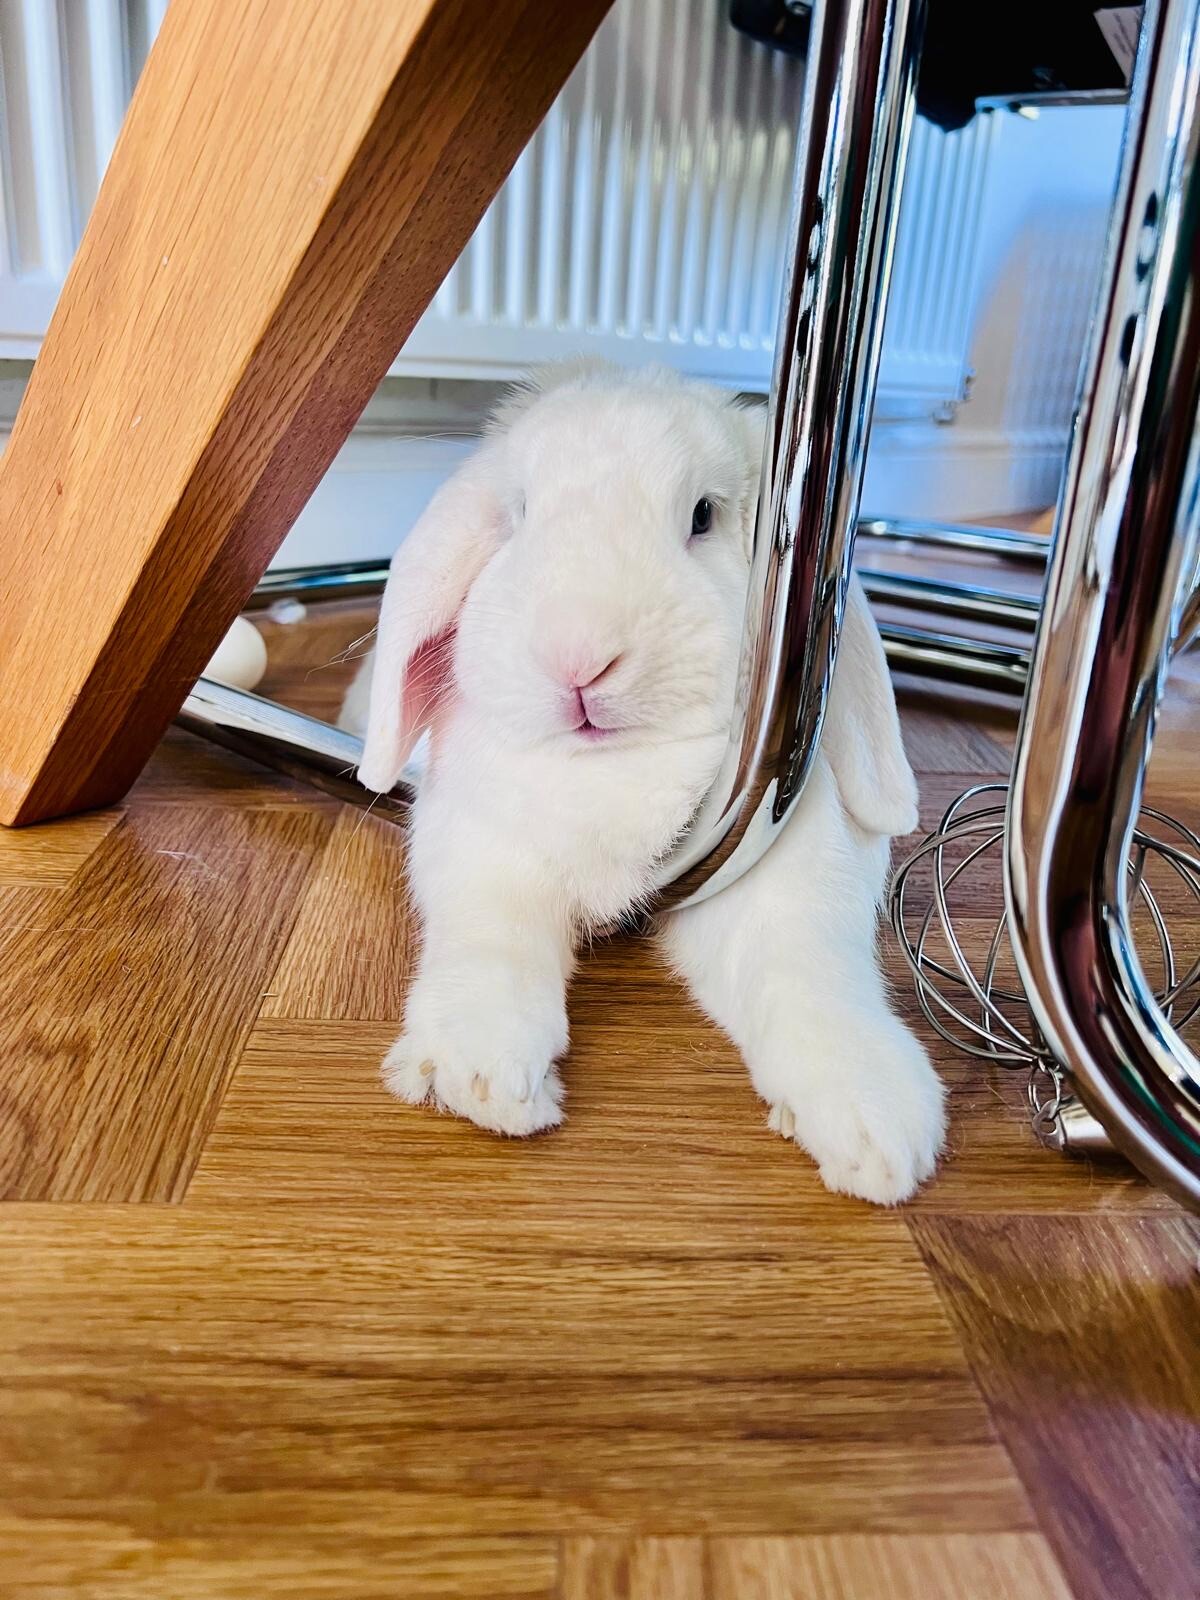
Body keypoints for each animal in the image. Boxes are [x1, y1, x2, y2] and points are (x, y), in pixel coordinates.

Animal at [344, 360, 945, 1204]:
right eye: (520, 514)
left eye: (703, 515)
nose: (579, 658)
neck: (613, 765)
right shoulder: (483, 855)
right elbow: (492, 942)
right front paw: (484, 1077)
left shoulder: (781, 885)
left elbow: (809, 968)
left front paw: (876, 1129)